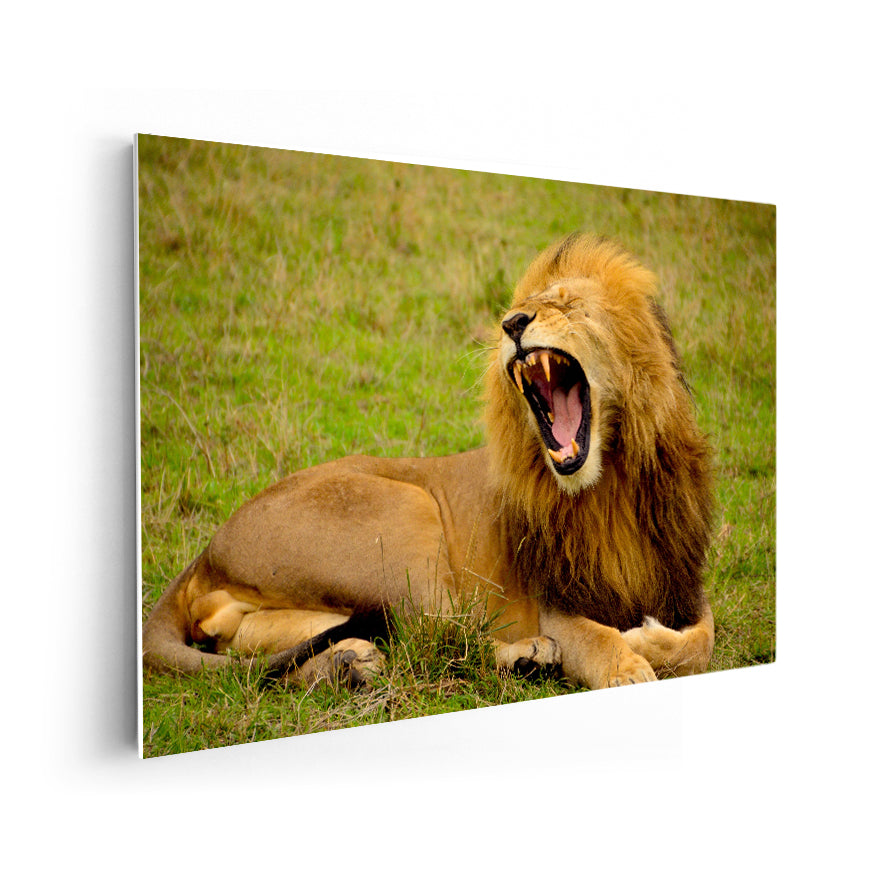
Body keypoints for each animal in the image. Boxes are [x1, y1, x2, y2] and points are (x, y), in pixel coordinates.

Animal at [142, 233, 714, 690]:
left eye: (568, 303)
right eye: (520, 306)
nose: (511, 323)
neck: (610, 482)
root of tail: (207, 550)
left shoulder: (683, 582)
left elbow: (701, 641)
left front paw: (646, 638)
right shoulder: (557, 604)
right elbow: (598, 639)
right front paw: (630, 662)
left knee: (251, 641)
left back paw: (349, 662)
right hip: (406, 509)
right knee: (437, 635)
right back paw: (525, 656)